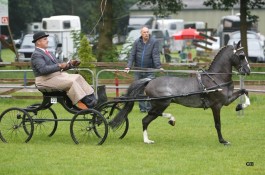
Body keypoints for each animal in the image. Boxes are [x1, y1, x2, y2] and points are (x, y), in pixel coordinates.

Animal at [109, 41, 250, 145]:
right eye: (241, 55)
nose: (248, 71)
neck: (216, 78)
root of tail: (150, 80)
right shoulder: (217, 106)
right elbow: (218, 124)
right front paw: (223, 141)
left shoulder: (227, 100)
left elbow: (244, 91)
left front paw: (239, 107)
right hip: (163, 103)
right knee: (150, 115)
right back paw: (169, 121)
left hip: (160, 104)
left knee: (147, 119)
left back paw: (149, 139)